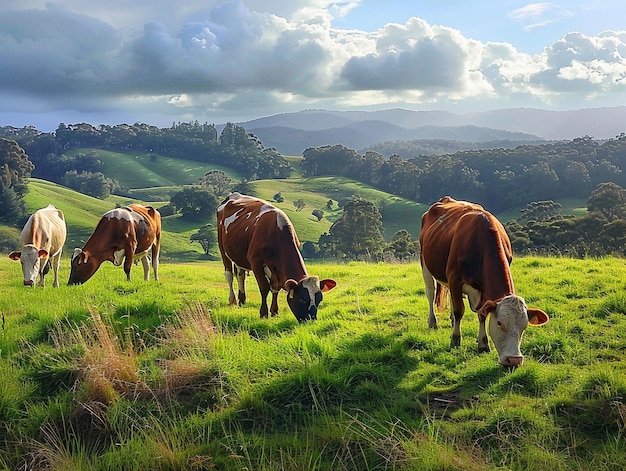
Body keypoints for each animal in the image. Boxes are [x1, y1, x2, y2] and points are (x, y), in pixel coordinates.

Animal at [216, 194, 336, 322]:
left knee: (240, 275)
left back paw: (242, 301)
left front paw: (274, 312)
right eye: (302, 299)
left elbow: (275, 289)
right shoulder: (256, 262)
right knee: (229, 275)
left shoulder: (276, 269)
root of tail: (233, 195)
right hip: (223, 249)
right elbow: (264, 288)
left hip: (239, 255)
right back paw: (232, 300)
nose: (311, 320)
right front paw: (263, 313)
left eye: (319, 299)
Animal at [420, 196, 544, 368]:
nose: (514, 360)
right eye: (499, 323)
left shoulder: (484, 290)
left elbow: (482, 314)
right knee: (430, 293)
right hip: (425, 263)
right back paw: (433, 322)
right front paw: (455, 340)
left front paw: (483, 343)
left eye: (524, 326)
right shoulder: (454, 278)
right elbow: (459, 310)